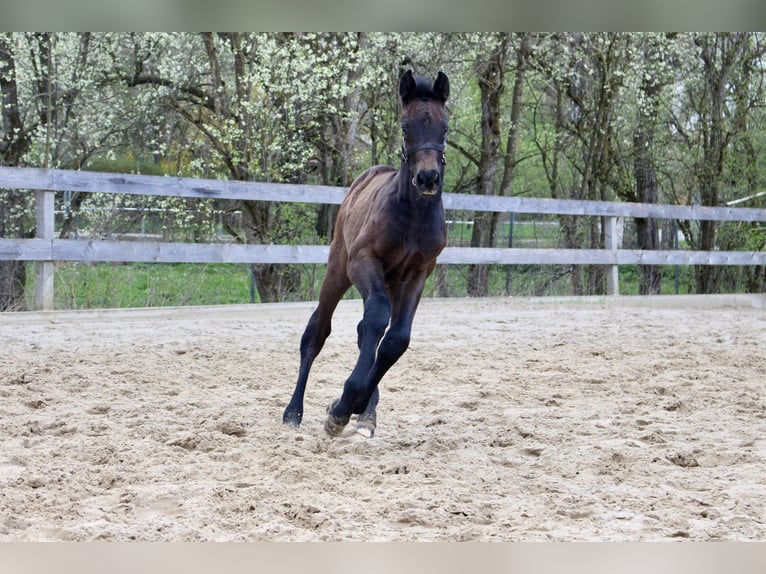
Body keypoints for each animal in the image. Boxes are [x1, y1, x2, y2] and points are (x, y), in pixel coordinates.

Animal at [282, 70, 450, 438]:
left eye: (444, 128)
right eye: (405, 126)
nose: (427, 178)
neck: (412, 215)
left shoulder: (418, 272)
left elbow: (395, 339)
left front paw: (354, 406)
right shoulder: (363, 261)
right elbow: (376, 319)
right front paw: (341, 407)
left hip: (390, 280)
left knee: (366, 331)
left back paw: (366, 414)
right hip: (339, 270)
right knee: (317, 333)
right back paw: (293, 412)